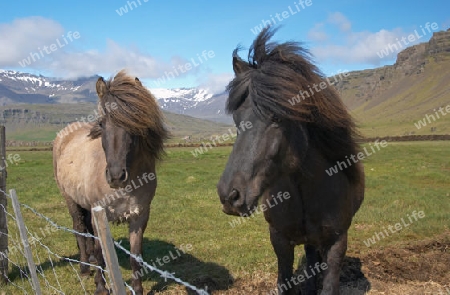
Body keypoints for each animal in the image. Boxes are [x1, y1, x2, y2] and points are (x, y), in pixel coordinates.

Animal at [53, 70, 169, 294]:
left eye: (133, 122)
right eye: (101, 124)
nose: (115, 176)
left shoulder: (140, 216)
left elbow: (135, 256)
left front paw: (137, 289)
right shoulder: (101, 215)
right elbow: (101, 253)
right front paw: (101, 286)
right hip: (70, 200)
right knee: (79, 229)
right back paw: (84, 268)